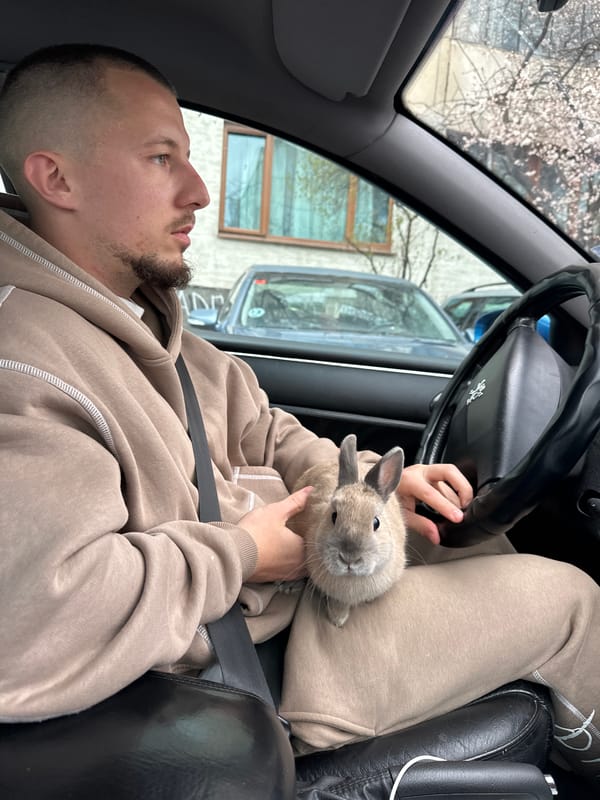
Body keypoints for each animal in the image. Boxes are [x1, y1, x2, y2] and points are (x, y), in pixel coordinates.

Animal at [290, 433, 406, 627]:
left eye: (376, 523)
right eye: (334, 516)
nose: (349, 558)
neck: (352, 578)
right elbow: (339, 603)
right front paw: (338, 619)